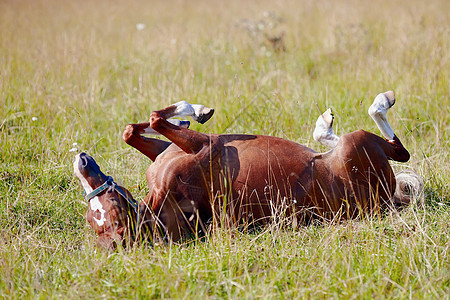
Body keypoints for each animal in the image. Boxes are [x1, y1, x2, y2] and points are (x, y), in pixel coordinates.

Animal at [73, 91, 422, 248]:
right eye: (100, 213)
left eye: (107, 205)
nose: (82, 161)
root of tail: (386, 199)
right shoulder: (208, 146)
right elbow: (157, 118)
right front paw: (195, 111)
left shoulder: (171, 150)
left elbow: (134, 129)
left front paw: (191, 115)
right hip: (357, 144)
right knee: (397, 149)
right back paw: (370, 106)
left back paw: (324, 127)